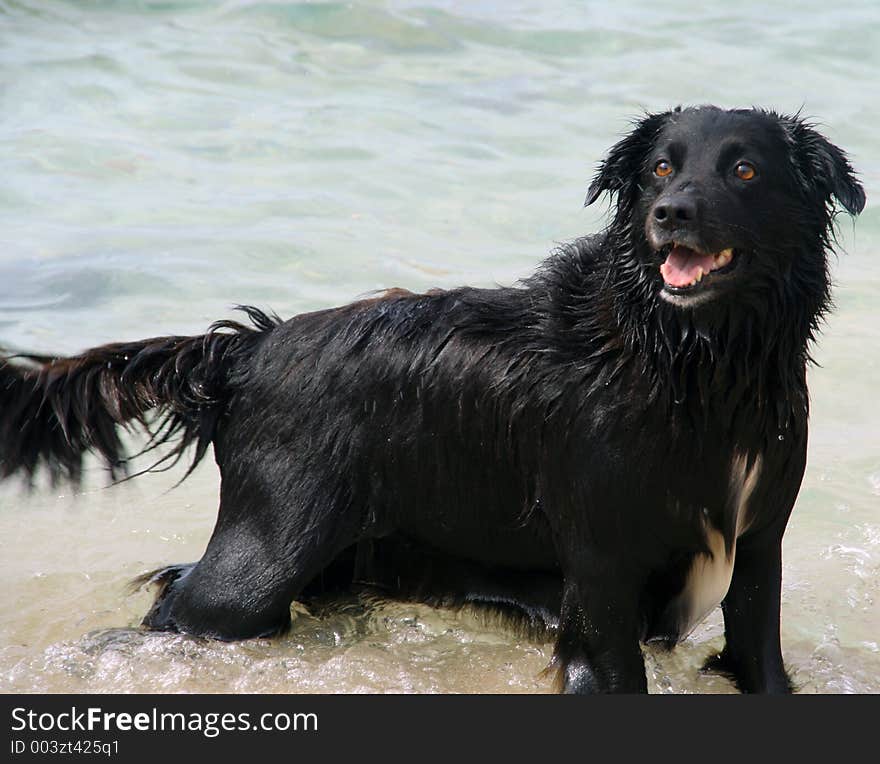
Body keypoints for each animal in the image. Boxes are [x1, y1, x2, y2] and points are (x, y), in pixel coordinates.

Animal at [0, 106, 868, 692]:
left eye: (744, 170)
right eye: (659, 167)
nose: (671, 215)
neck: (691, 366)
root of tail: (250, 348)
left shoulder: (759, 552)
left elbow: (762, 663)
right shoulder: (600, 571)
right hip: (261, 557)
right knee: (181, 601)